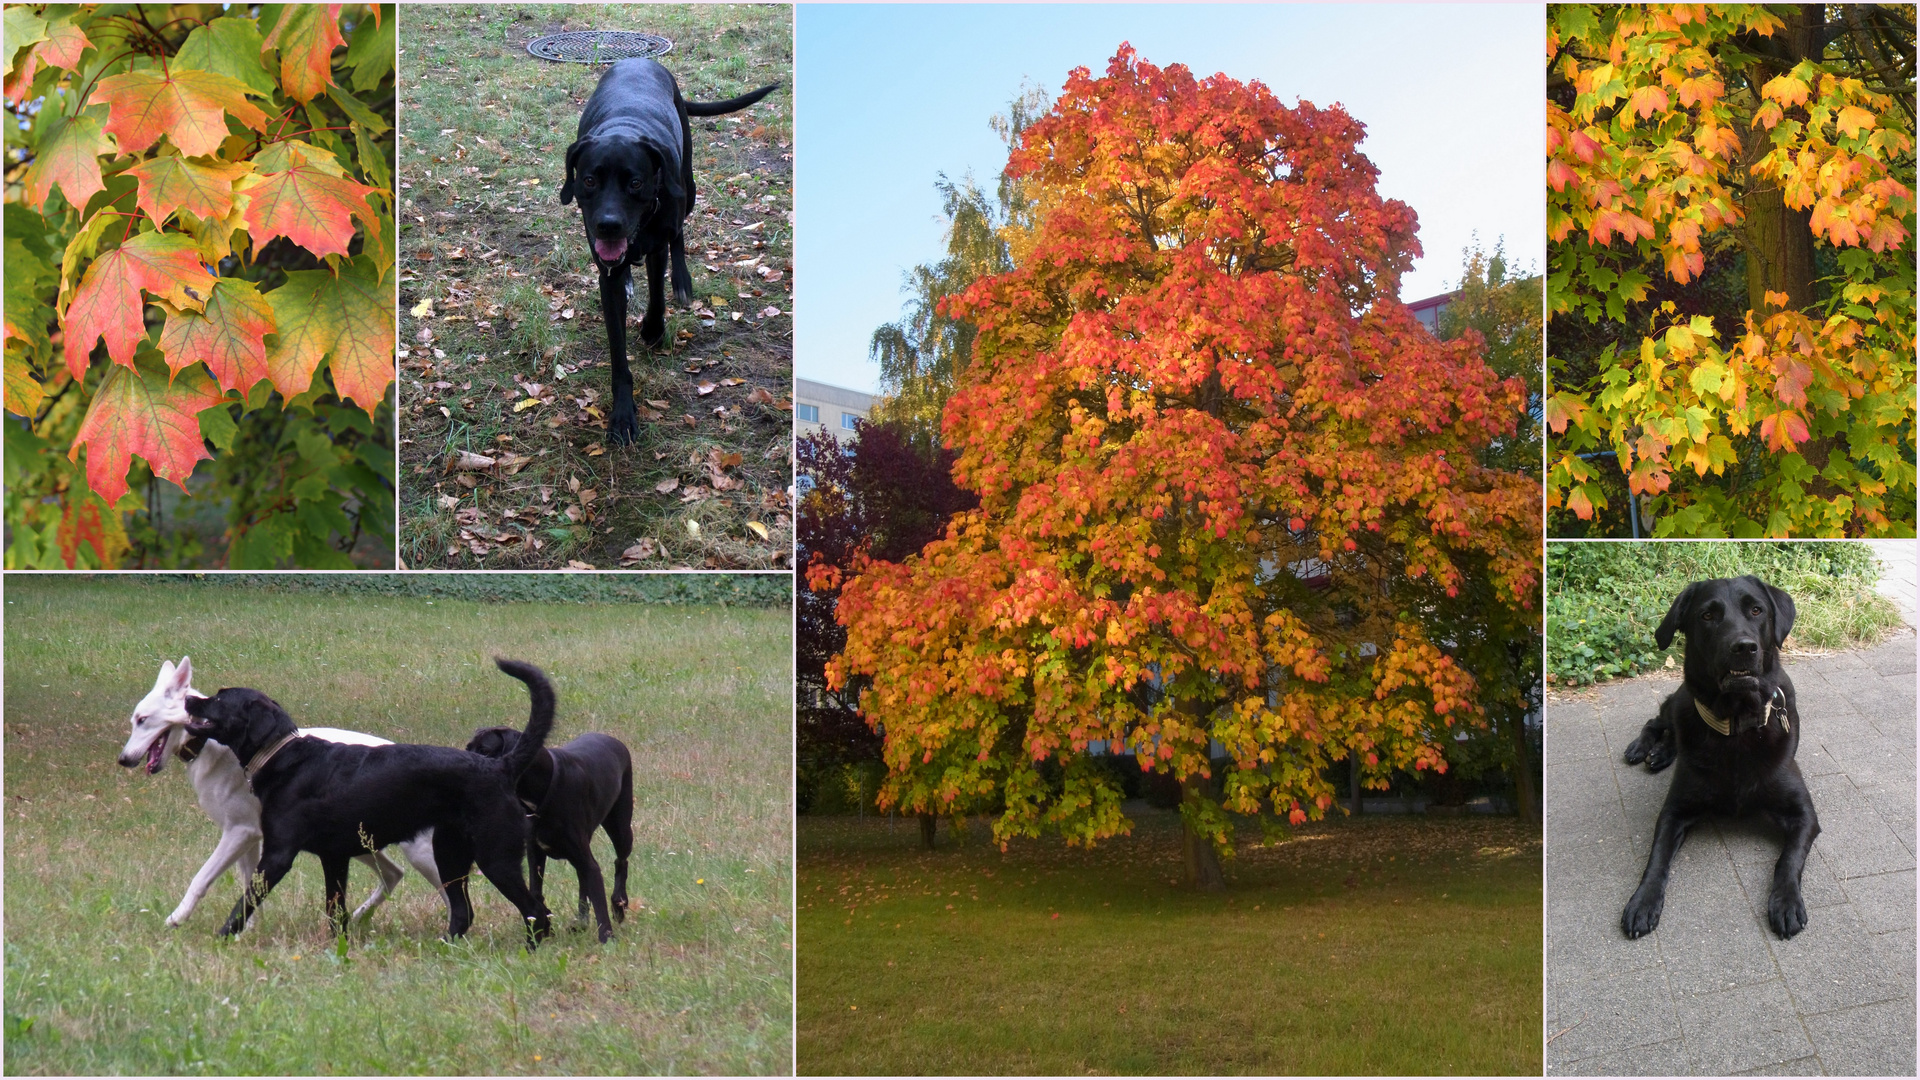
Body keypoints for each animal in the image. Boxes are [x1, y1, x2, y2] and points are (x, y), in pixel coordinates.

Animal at [118, 657, 447, 926]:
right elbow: (251, 887)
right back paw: (359, 917)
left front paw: (178, 917)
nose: (123, 760)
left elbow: (201, 878)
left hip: (420, 853)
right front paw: (251, 929)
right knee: (394, 874)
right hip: (359, 842)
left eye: (142, 720)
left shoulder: (239, 832)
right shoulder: (251, 838)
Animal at [180, 657, 560, 941]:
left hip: (495, 857)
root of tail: (500, 767)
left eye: (219, 698)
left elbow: (244, 903)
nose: (187, 699)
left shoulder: (277, 856)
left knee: (536, 912)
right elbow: (336, 911)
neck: (284, 755)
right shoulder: (334, 858)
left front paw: (221, 938)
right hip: (450, 856)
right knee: (465, 912)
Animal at [466, 722, 633, 941]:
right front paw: (545, 924)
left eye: (485, 750)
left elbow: (599, 904)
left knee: (621, 861)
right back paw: (582, 921)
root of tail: (613, 740)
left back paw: (618, 903)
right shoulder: (535, 854)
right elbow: (536, 891)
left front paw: (607, 939)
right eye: (468, 748)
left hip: (621, 828)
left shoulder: (588, 862)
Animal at [560, 56, 779, 443]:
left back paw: (682, 281)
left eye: (635, 182)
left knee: (679, 234)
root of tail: (640, 59)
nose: (608, 224)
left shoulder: (657, 241)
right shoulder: (607, 271)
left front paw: (653, 328)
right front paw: (622, 415)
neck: (624, 126)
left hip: (686, 186)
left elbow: (658, 293)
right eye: (588, 180)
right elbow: (618, 352)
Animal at [1620, 576, 1812, 937]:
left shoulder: (1804, 814)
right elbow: (1656, 858)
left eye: (1756, 610)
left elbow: (1789, 858)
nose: (1744, 647)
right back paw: (1643, 748)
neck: (1735, 725)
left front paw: (1786, 902)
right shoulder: (1673, 812)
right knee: (1657, 721)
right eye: (1707, 616)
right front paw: (1643, 901)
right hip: (1680, 701)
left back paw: (1661, 753)